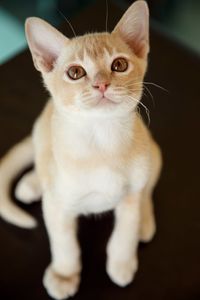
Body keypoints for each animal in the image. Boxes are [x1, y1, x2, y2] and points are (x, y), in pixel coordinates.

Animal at [0, 1, 162, 298]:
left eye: (119, 65)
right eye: (75, 72)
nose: (101, 84)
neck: (101, 142)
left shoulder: (129, 199)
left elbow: (124, 233)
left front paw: (122, 263)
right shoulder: (57, 208)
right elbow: (64, 245)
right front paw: (65, 275)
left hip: (154, 155)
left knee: (147, 191)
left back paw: (145, 223)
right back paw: (32, 183)